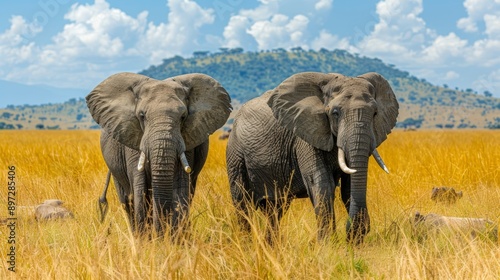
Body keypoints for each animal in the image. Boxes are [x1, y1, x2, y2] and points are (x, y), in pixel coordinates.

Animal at [86, 71, 232, 236]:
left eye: (183, 117)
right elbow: (140, 189)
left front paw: (173, 238)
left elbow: (180, 187)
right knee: (127, 199)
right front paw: (148, 240)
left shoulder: (187, 140)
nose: (161, 231)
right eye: (142, 115)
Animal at [227, 71, 398, 243]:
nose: (355, 231)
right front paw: (328, 244)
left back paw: (270, 245)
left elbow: (349, 186)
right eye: (335, 113)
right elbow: (322, 183)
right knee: (242, 204)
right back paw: (246, 243)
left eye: (375, 113)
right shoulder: (304, 135)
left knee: (275, 209)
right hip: (235, 154)